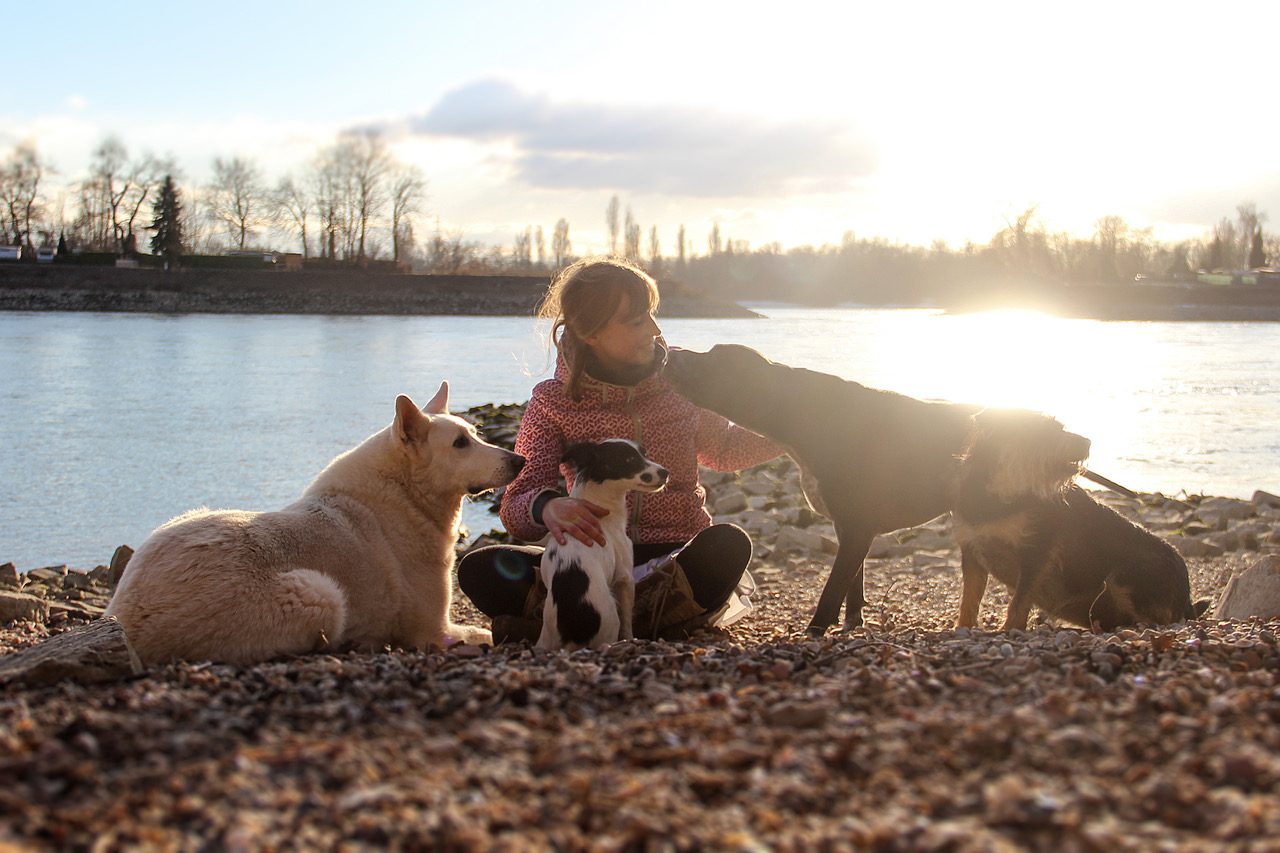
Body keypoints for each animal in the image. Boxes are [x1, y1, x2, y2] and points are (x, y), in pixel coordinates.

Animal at [104, 379, 522, 666]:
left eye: (475, 434)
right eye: (459, 444)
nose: (518, 460)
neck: (406, 490)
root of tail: (129, 622)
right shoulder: (434, 631)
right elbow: (474, 633)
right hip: (320, 594)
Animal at [535, 440, 670, 648]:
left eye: (644, 453)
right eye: (629, 459)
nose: (665, 472)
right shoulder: (625, 577)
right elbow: (628, 620)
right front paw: (631, 639)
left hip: (545, 639)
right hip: (610, 620)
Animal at [665, 343, 972, 630]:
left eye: (715, 357)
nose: (672, 351)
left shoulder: (857, 528)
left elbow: (833, 586)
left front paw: (817, 627)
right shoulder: (848, 528)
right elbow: (853, 581)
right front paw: (852, 621)